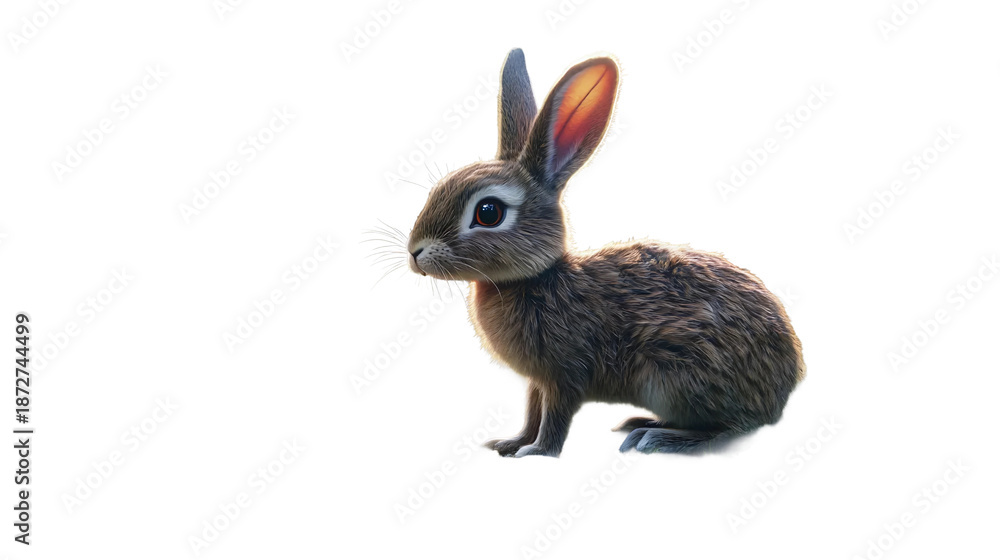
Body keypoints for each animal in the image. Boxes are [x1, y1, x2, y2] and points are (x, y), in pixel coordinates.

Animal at [405, 49, 805, 457]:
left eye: (488, 212)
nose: (415, 253)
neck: (534, 279)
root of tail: (783, 390)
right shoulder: (538, 381)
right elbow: (533, 410)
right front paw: (510, 443)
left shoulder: (565, 374)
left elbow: (555, 416)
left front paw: (537, 452)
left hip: (681, 375)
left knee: (731, 427)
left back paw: (656, 437)